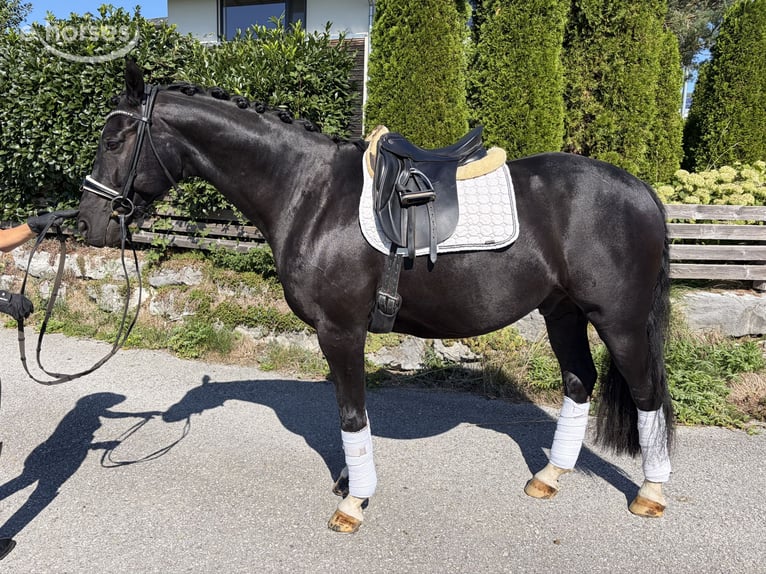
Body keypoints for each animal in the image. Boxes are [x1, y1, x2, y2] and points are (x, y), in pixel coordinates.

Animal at [77, 60, 674, 533]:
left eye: (113, 141)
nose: (89, 223)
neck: (311, 193)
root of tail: (641, 190)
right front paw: (349, 483)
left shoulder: (340, 330)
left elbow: (350, 415)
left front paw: (354, 502)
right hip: (562, 313)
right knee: (579, 381)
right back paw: (549, 476)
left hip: (618, 321)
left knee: (646, 393)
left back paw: (651, 494)